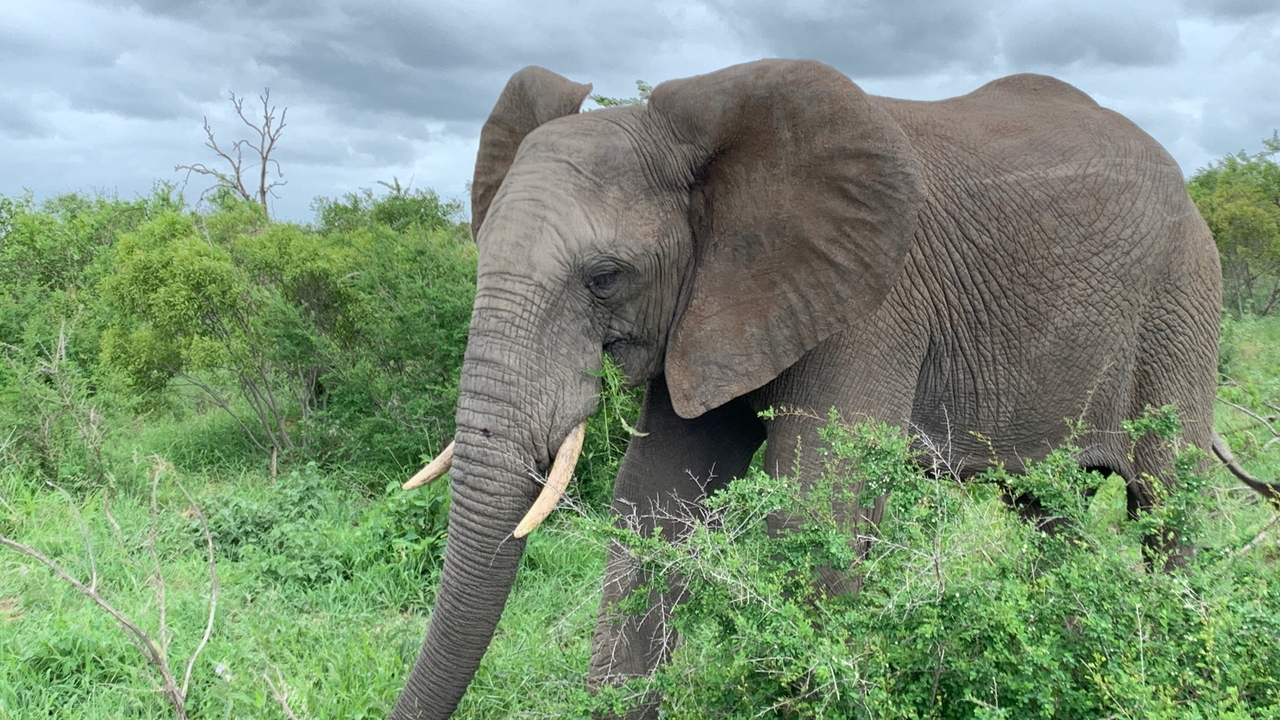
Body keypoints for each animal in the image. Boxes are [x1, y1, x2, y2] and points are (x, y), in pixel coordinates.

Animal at [388, 59, 1243, 719]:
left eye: (604, 277)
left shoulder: (876, 305)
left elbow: (810, 516)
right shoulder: (710, 306)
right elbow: (653, 505)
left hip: (1184, 301)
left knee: (1169, 509)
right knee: (1048, 511)